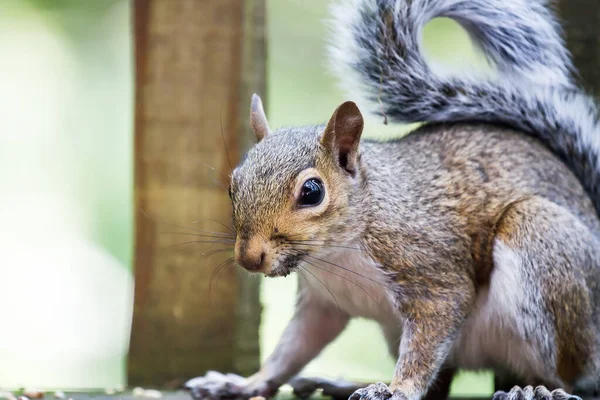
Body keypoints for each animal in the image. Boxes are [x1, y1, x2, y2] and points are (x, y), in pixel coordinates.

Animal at [185, 0, 600, 400]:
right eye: (233, 185)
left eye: (312, 192)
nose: (248, 258)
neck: (338, 252)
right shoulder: (323, 304)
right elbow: (292, 349)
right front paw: (245, 383)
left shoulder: (431, 274)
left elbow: (427, 340)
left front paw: (400, 388)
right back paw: (342, 384)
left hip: (540, 242)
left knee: (567, 376)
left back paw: (535, 390)